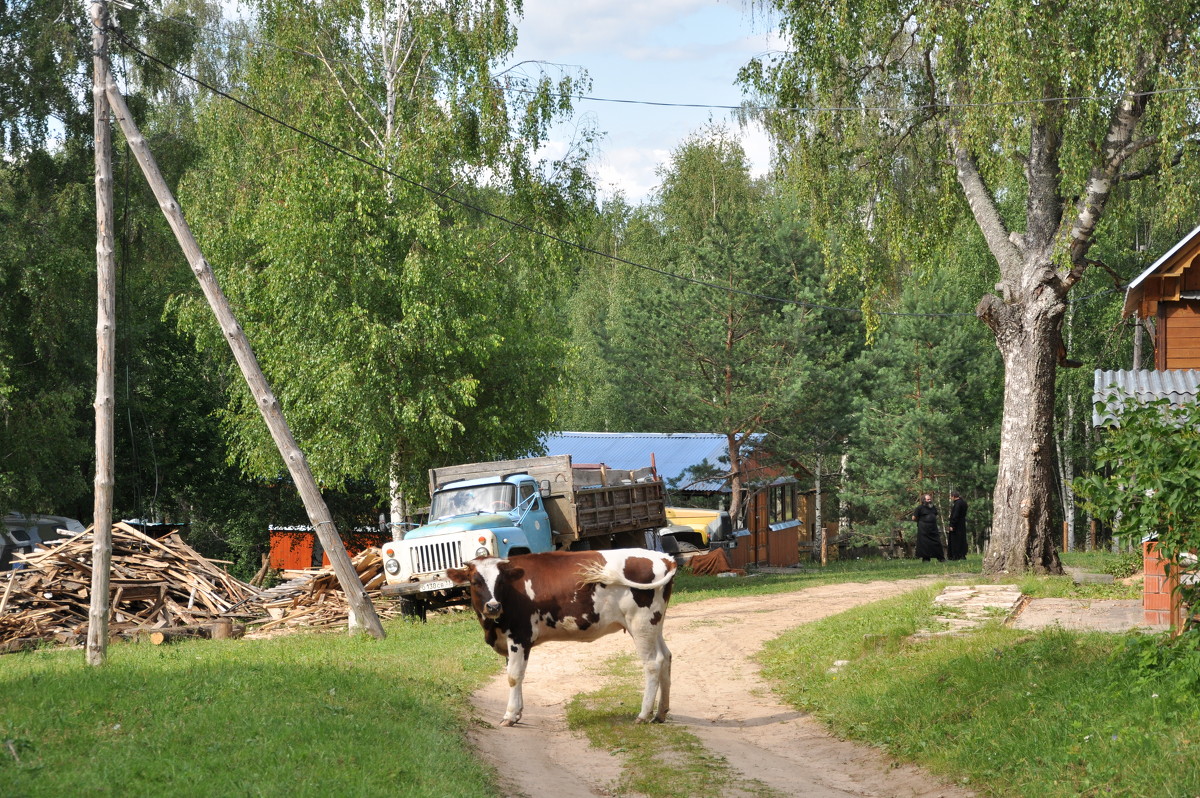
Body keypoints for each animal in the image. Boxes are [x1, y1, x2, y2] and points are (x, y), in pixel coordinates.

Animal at [448, 547, 676, 729]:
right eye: (475, 582)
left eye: (500, 582)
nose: (493, 606)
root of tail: (664, 557)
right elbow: (516, 675)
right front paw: (518, 712)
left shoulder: (520, 636)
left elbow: (514, 676)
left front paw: (510, 715)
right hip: (654, 624)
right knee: (666, 657)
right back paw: (660, 713)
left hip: (641, 623)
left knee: (653, 663)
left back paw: (643, 714)